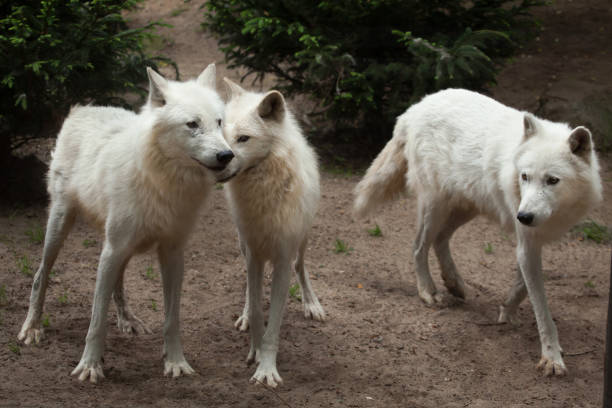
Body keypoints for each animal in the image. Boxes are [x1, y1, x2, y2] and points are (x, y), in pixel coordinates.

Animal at [16, 63, 237, 382]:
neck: (164, 181)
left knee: (118, 281)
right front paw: (90, 366)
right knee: (40, 275)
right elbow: (96, 320)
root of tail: (82, 108)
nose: (226, 155)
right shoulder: (113, 249)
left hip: (121, 246)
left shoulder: (172, 254)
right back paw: (32, 328)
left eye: (219, 122)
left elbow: (172, 319)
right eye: (192, 124)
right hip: (61, 226)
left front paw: (175, 362)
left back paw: (128, 319)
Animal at [221, 78, 326, 388]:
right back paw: (244, 316)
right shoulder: (254, 255)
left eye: (243, 138)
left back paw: (312, 304)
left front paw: (267, 369)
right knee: (249, 291)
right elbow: (258, 310)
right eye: (220, 131)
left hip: (302, 242)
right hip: (243, 244)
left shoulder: (282, 261)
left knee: (301, 267)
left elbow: (275, 323)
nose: (221, 158)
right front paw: (255, 351)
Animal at [354, 88, 604, 376]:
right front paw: (551, 358)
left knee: (440, 239)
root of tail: (416, 107)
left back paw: (454, 283)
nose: (523, 216)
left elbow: (522, 285)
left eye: (552, 180)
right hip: (434, 205)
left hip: (466, 208)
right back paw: (428, 291)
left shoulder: (531, 240)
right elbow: (541, 308)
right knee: (419, 245)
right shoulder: (526, 242)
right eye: (525, 177)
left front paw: (507, 310)